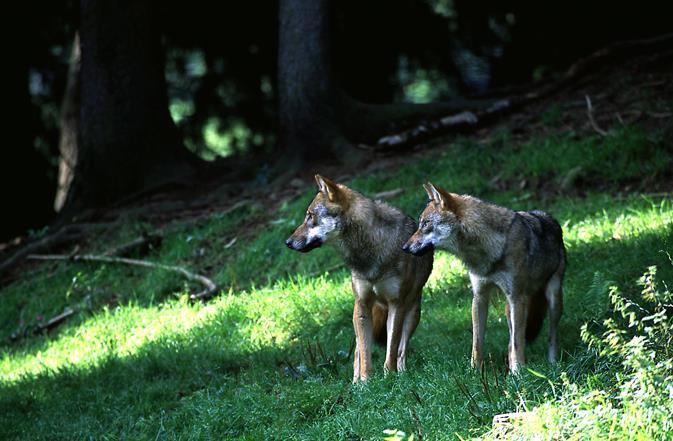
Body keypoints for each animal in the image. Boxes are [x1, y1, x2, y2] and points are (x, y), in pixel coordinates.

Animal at [282, 175, 430, 382]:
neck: (369, 252)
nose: (288, 242)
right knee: (358, 352)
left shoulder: (396, 305)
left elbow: (391, 350)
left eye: (310, 216)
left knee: (401, 350)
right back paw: (355, 382)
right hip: (358, 314)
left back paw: (402, 373)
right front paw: (366, 382)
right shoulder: (362, 304)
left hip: (413, 314)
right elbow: (365, 354)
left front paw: (389, 378)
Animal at [402, 182, 564, 372]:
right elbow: (477, 342)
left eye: (425, 223)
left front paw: (519, 372)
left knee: (551, 335)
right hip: (510, 309)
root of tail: (550, 217)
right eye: (420, 223)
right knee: (511, 339)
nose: (404, 247)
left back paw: (552, 363)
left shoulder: (516, 297)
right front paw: (475, 371)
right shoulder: (479, 297)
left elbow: (518, 342)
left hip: (552, 300)